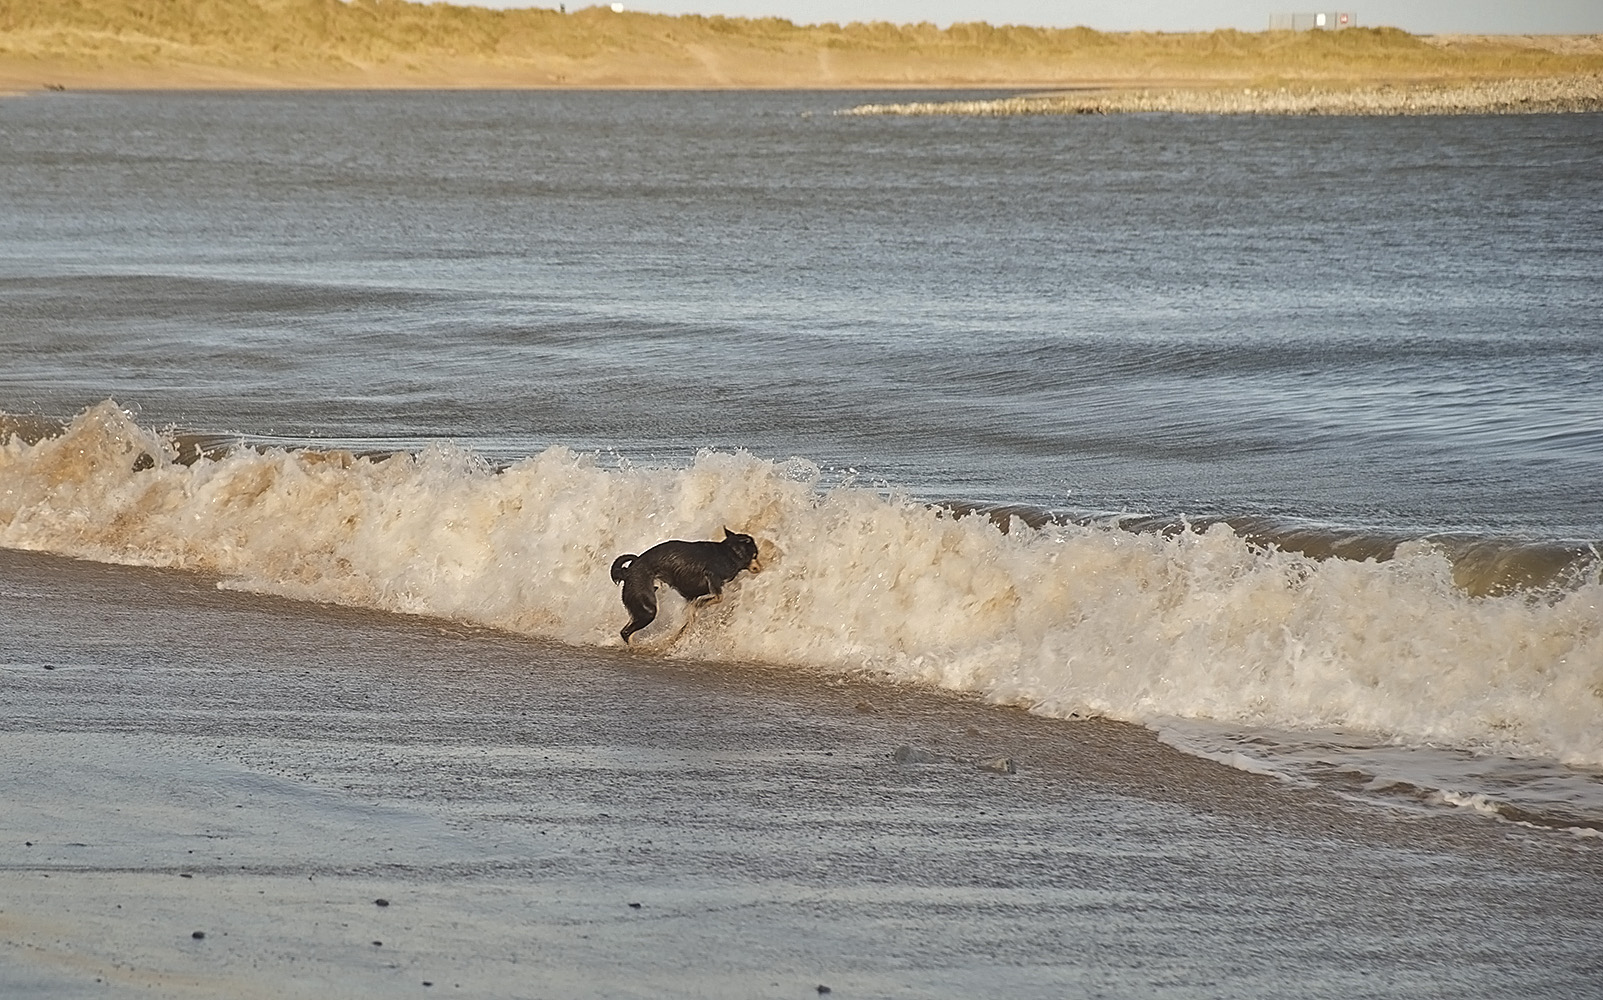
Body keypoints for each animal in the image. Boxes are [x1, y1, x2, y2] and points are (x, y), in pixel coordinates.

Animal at [612, 528, 763, 644]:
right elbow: (718, 597)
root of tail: (627, 572)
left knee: (625, 630)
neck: (730, 552)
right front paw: (701, 605)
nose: (761, 567)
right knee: (626, 633)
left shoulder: (691, 595)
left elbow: (691, 614)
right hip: (648, 609)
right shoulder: (712, 577)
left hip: (639, 608)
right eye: (755, 554)